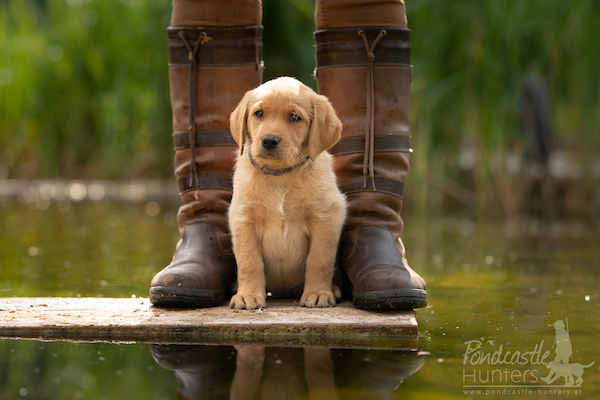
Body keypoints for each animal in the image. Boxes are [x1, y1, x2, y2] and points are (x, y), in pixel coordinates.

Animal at [227, 77, 346, 310]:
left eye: (294, 117)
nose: (269, 140)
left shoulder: (326, 218)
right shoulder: (244, 220)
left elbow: (319, 259)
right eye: (259, 113)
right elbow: (249, 262)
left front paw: (317, 293)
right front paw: (248, 295)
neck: (280, 176)